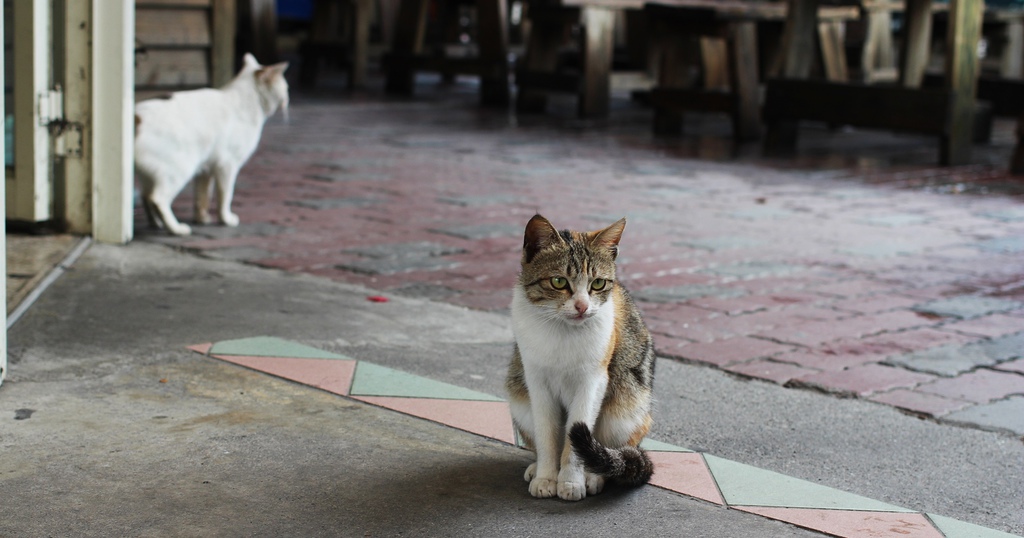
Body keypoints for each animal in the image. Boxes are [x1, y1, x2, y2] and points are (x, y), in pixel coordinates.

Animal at [133, 53, 288, 234]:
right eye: (286, 88)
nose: (288, 99)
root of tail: (135, 116)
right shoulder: (227, 165)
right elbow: (225, 196)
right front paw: (226, 219)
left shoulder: (205, 168)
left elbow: (203, 195)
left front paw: (202, 219)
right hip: (180, 169)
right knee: (157, 198)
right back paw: (176, 228)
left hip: (152, 174)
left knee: (145, 196)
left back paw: (156, 223)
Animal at [503, 213, 655, 500]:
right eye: (559, 281)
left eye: (598, 283)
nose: (582, 306)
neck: (562, 331)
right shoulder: (535, 380)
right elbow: (547, 433)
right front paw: (546, 477)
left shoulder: (593, 381)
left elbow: (578, 434)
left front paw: (571, 481)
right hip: (519, 398)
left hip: (626, 409)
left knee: (613, 449)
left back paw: (595, 475)